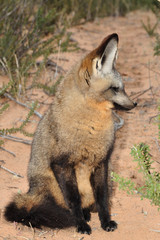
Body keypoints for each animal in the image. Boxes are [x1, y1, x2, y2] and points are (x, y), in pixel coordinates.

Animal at [4, 33, 136, 234]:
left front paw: (105, 221)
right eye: (115, 89)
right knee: (52, 207)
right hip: (50, 185)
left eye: (123, 88)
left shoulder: (102, 162)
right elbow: (73, 201)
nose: (135, 104)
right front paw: (80, 224)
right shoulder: (61, 164)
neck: (90, 128)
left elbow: (103, 200)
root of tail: (31, 191)